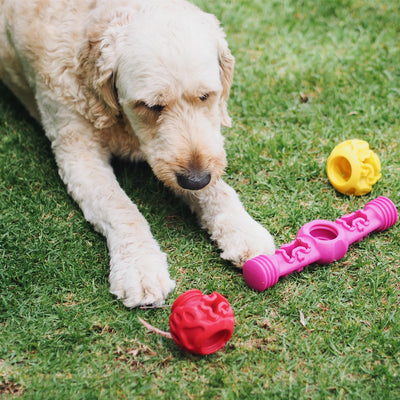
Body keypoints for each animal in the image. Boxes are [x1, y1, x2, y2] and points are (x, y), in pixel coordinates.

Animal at [0, 0, 276, 306]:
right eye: (151, 106)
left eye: (205, 96)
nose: (195, 180)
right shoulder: (78, 155)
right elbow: (122, 209)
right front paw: (140, 266)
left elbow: (219, 190)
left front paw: (243, 229)